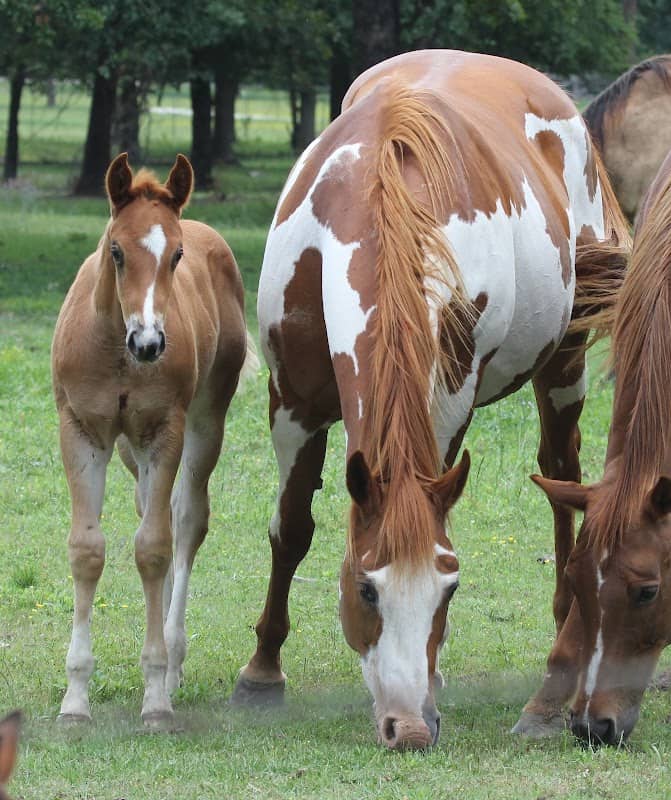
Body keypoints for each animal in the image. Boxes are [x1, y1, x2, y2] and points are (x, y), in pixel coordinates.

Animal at [52, 153, 256, 726]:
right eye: (116, 250)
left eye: (177, 254)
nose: (149, 342)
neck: (116, 353)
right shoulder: (81, 431)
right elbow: (87, 550)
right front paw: (75, 700)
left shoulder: (166, 431)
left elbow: (155, 548)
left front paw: (157, 696)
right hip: (130, 451)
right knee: (151, 508)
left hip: (203, 425)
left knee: (184, 522)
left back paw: (173, 657)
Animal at [231, 50, 630, 749]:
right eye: (366, 589)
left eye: (450, 588)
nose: (410, 728)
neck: (374, 200)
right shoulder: (292, 403)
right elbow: (293, 530)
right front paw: (261, 674)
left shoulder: (446, 403)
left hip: (566, 363)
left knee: (561, 478)